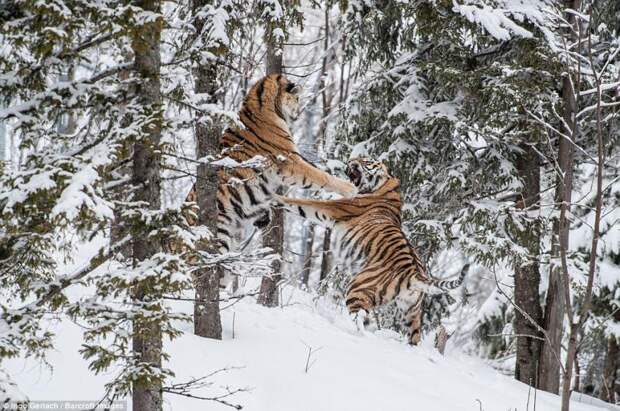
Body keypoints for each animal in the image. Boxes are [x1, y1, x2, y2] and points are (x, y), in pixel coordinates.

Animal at [274, 159, 468, 346]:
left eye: (365, 161)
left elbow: (301, 203)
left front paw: (273, 195)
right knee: (414, 337)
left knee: (359, 320)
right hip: (411, 311)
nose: (350, 162)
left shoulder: (334, 208)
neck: (385, 187)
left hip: (357, 289)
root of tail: (414, 272)